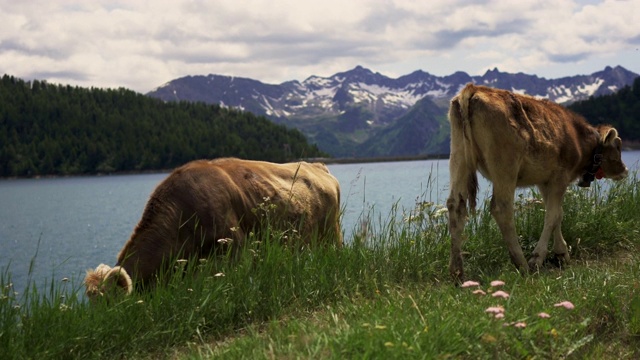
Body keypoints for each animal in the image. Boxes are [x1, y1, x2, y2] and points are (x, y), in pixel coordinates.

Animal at [448, 83, 628, 280]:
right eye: (618, 146)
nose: (625, 170)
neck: (577, 137)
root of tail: (473, 88)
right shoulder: (560, 177)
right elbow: (552, 215)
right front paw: (538, 258)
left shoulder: (544, 181)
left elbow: (558, 213)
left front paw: (561, 253)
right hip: (505, 166)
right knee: (501, 208)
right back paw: (522, 264)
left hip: (458, 157)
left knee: (455, 206)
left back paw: (457, 273)